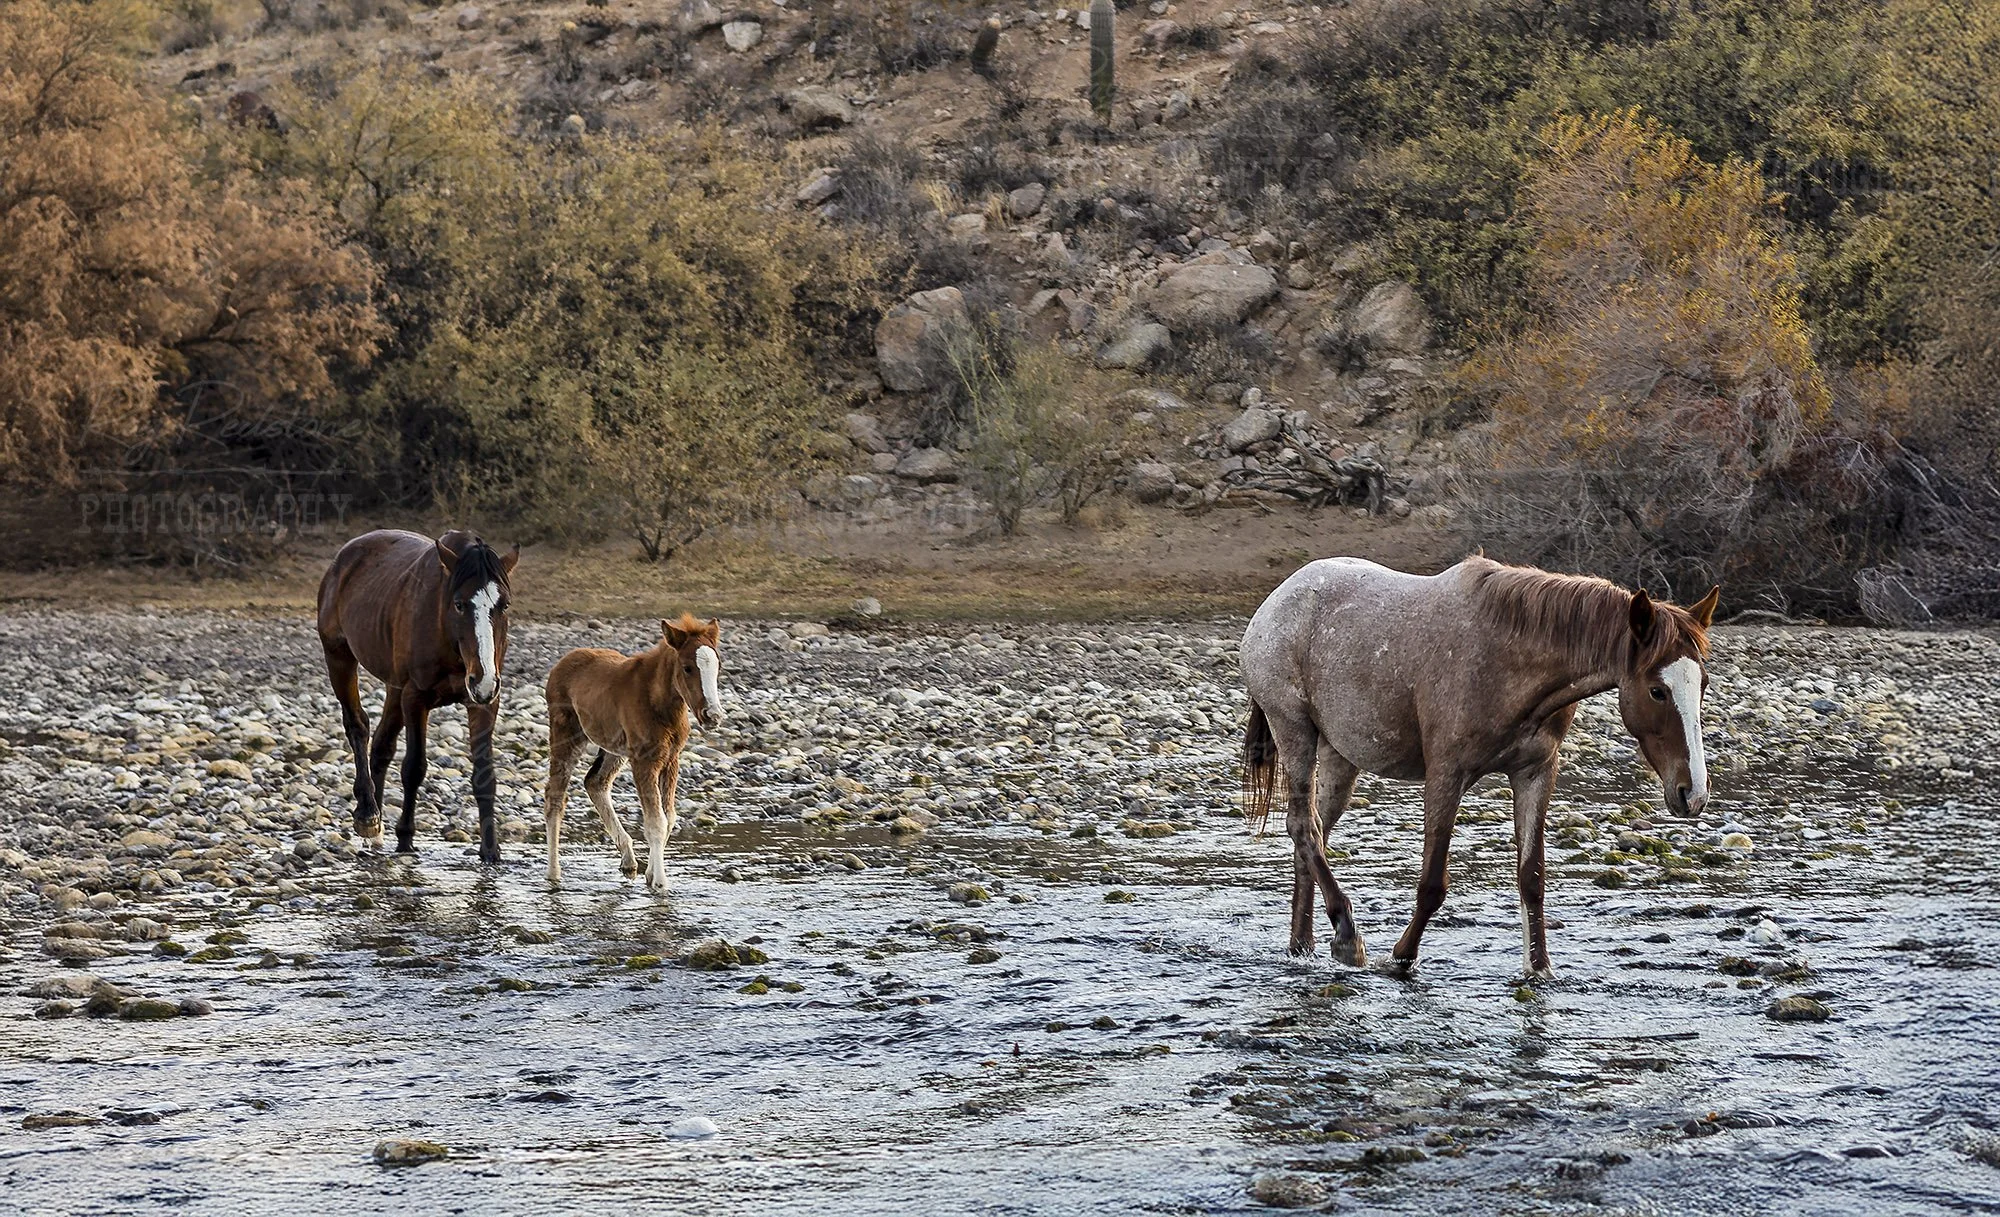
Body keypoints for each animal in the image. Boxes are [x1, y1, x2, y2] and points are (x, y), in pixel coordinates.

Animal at [316, 529, 519, 864]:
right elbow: (414, 768)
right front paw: (405, 838)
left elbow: (484, 775)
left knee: (381, 745)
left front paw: (491, 850)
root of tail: (343, 558)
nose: (483, 678)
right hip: (339, 657)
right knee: (358, 726)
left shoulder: (485, 702)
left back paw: (376, 829)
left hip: (394, 686)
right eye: (459, 604)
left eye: (503, 605)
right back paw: (368, 815)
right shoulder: (415, 698)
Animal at [542, 614, 724, 892]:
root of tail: (558, 667)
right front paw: (660, 883)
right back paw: (553, 873)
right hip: (566, 735)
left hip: (615, 748)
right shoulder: (644, 760)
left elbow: (669, 818)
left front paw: (650, 874)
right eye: (687, 667)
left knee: (595, 782)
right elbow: (656, 822)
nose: (712, 715)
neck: (661, 705)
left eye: (717, 666)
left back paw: (628, 861)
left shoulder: (671, 759)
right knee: (555, 796)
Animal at [1240, 554, 1719, 978]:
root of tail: (1277, 600)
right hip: (1295, 731)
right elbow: (1433, 883)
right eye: (1658, 690)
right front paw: (1401, 957)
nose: (1692, 792)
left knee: (1315, 832)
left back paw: (1303, 945)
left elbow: (1531, 877)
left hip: (1340, 757)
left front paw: (1538, 968)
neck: (1509, 658)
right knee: (1303, 826)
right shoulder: (1446, 775)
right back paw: (1346, 935)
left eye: (1703, 682)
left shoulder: (1534, 773)